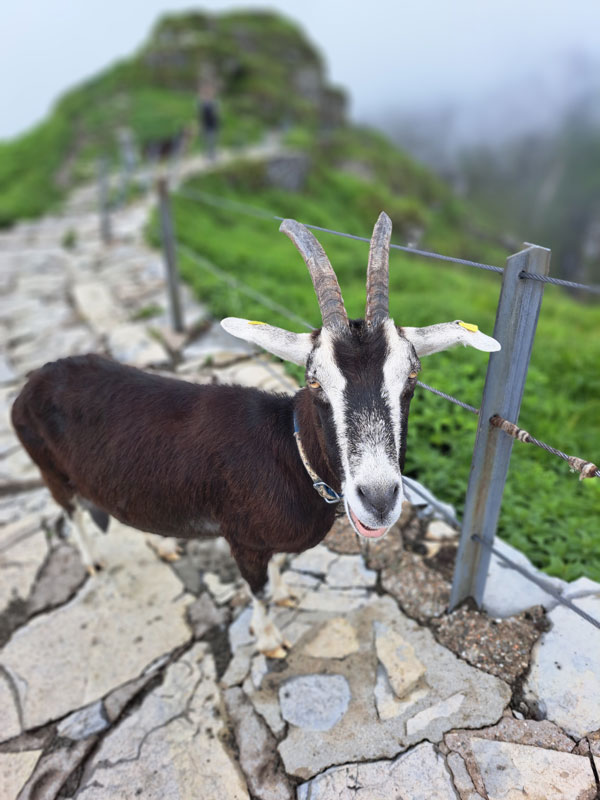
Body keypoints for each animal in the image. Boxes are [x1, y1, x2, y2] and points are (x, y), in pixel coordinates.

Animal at [11, 213, 500, 657]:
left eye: (412, 377)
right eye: (314, 382)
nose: (378, 500)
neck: (291, 453)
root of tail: (33, 383)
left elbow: (279, 567)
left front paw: (285, 594)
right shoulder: (241, 538)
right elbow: (258, 591)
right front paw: (268, 641)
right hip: (48, 467)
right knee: (71, 511)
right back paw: (94, 561)